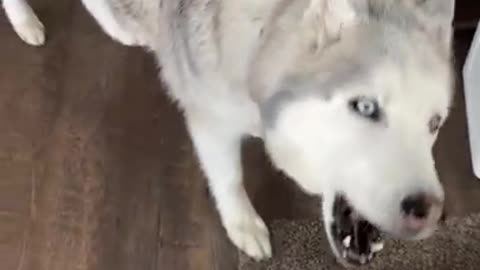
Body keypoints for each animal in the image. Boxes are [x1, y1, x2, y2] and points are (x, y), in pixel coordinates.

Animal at [2, 0, 454, 266]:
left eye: (434, 124)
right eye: (365, 107)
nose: (428, 210)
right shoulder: (211, 120)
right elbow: (229, 178)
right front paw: (243, 225)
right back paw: (26, 22)